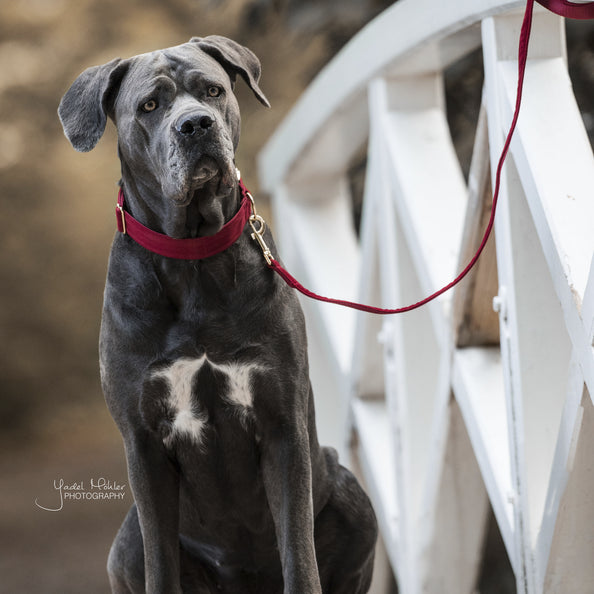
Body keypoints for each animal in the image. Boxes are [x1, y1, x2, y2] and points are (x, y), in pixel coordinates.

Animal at [59, 37, 374, 592]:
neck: (194, 257)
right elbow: (161, 567)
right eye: (150, 106)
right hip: (125, 544)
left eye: (213, 91)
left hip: (351, 496)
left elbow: (300, 554)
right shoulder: (143, 443)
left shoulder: (282, 424)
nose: (196, 125)